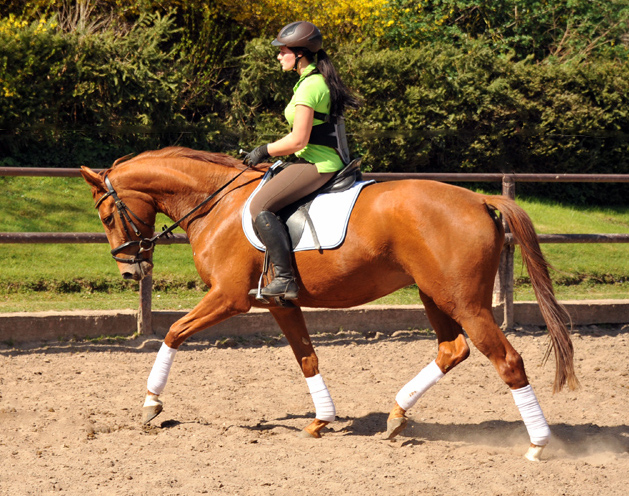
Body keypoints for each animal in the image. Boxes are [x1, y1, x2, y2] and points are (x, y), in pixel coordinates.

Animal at [83, 146, 580, 462]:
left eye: (107, 216)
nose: (130, 271)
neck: (217, 205)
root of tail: (477, 197)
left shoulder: (228, 298)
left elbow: (173, 332)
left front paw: (151, 404)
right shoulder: (280, 304)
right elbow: (307, 358)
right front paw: (321, 420)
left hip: (464, 303)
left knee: (507, 361)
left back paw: (538, 444)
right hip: (434, 294)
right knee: (452, 350)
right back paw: (396, 416)